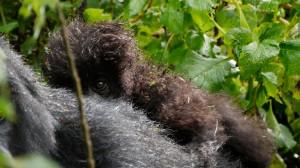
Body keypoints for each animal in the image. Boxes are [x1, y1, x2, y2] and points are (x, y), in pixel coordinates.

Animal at [44, 21, 274, 167]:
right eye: (73, 89)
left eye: (100, 85)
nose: (91, 105)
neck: (136, 88)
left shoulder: (167, 97)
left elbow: (208, 128)